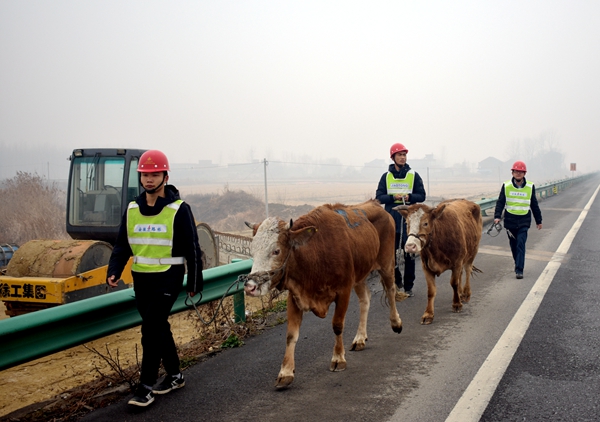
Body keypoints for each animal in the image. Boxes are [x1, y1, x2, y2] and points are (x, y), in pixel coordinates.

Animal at [244, 199, 403, 388]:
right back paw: (360, 338)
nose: (250, 286)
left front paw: (338, 358)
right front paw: (286, 372)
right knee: (365, 300)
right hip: (360, 274)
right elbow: (291, 335)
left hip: (386, 263)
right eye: (252, 251)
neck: (315, 255)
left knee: (391, 291)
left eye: (276, 250)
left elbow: (337, 325)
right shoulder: (295, 295)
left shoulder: (343, 291)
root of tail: (375, 203)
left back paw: (396, 323)